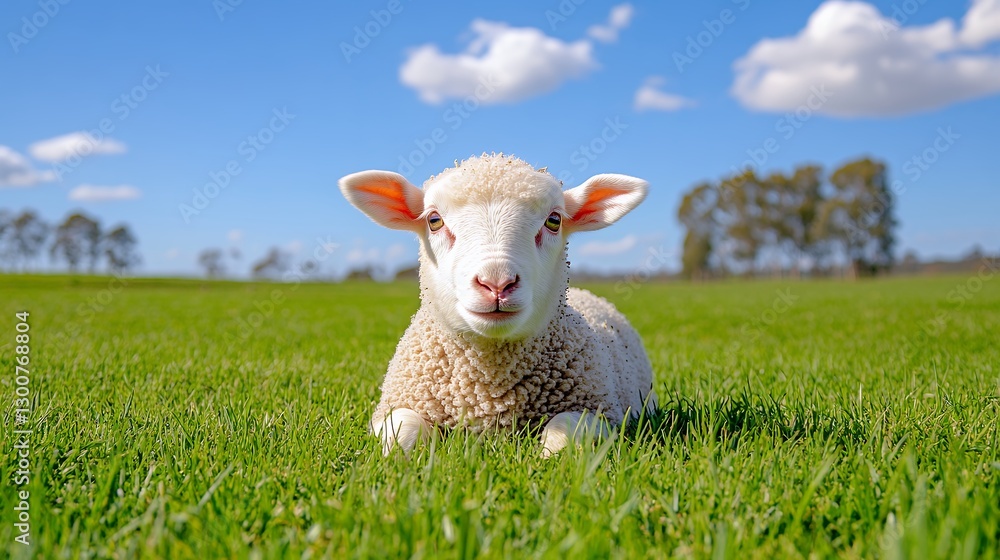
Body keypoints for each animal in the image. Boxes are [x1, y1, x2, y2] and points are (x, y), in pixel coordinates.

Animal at [339, 154, 657, 456]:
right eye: (434, 220)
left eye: (554, 221)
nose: (497, 284)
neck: (489, 394)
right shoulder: (399, 403)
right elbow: (404, 430)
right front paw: (395, 459)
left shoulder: (599, 410)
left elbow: (563, 432)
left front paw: (547, 460)